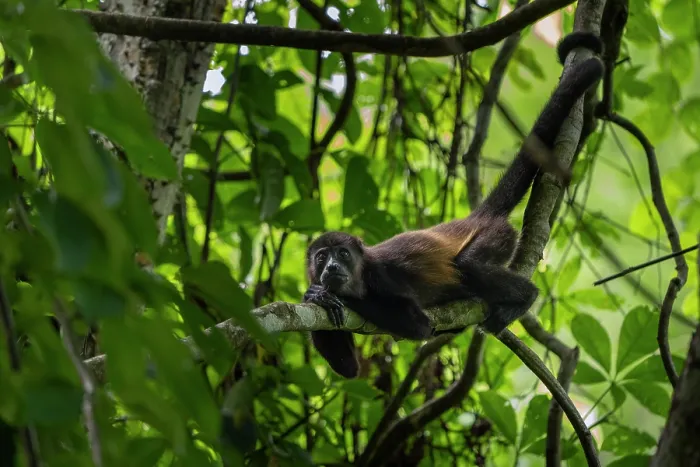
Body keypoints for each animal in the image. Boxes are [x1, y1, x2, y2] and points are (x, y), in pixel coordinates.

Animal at [303, 32, 605, 378]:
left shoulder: (381, 275)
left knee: (469, 266)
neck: (359, 277)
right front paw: (314, 295)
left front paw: (327, 296)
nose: (331, 267)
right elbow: (349, 368)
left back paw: (525, 297)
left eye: (342, 254)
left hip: (495, 235)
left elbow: (417, 324)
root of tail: (477, 216)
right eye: (322, 258)